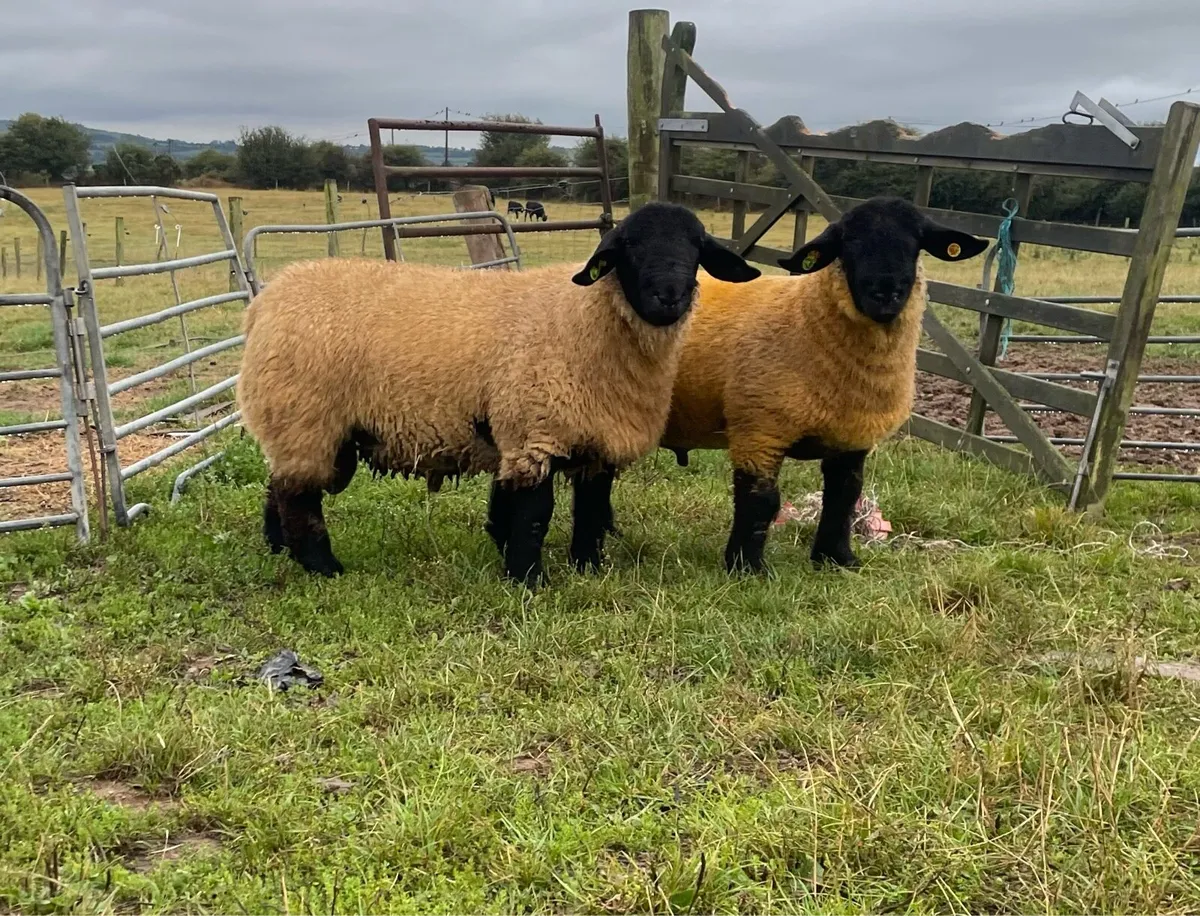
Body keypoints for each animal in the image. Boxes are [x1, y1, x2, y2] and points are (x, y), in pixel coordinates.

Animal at [236, 201, 760, 584]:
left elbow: (590, 510)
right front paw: (528, 579)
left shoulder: (593, 440)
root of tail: (265, 303)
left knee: (279, 485)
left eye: (696, 245)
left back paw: (276, 547)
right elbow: (534, 515)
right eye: (629, 245)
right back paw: (323, 569)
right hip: (305, 417)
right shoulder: (534, 431)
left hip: (303, 427)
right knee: (300, 499)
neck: (587, 318)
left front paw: (588, 568)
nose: (669, 296)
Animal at [573, 196, 988, 574]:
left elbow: (844, 496)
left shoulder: (853, 434)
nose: (885, 293)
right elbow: (762, 501)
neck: (809, 320)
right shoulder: (760, 428)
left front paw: (836, 559)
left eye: (916, 241)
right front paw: (747, 569)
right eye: (848, 242)